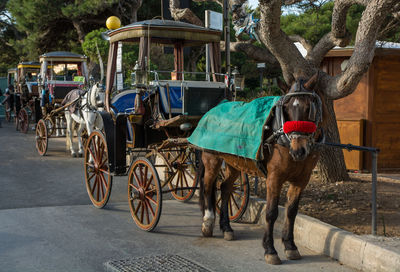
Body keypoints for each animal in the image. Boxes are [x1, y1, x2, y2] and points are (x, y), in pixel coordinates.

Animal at [196, 73, 324, 264]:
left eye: (310, 108)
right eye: (286, 109)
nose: (298, 150)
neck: (283, 139)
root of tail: (215, 108)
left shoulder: (302, 180)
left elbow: (291, 211)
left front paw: (290, 246)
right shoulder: (274, 178)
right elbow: (271, 213)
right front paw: (270, 249)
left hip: (234, 163)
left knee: (225, 188)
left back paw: (226, 228)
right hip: (212, 159)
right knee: (207, 187)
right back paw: (208, 222)